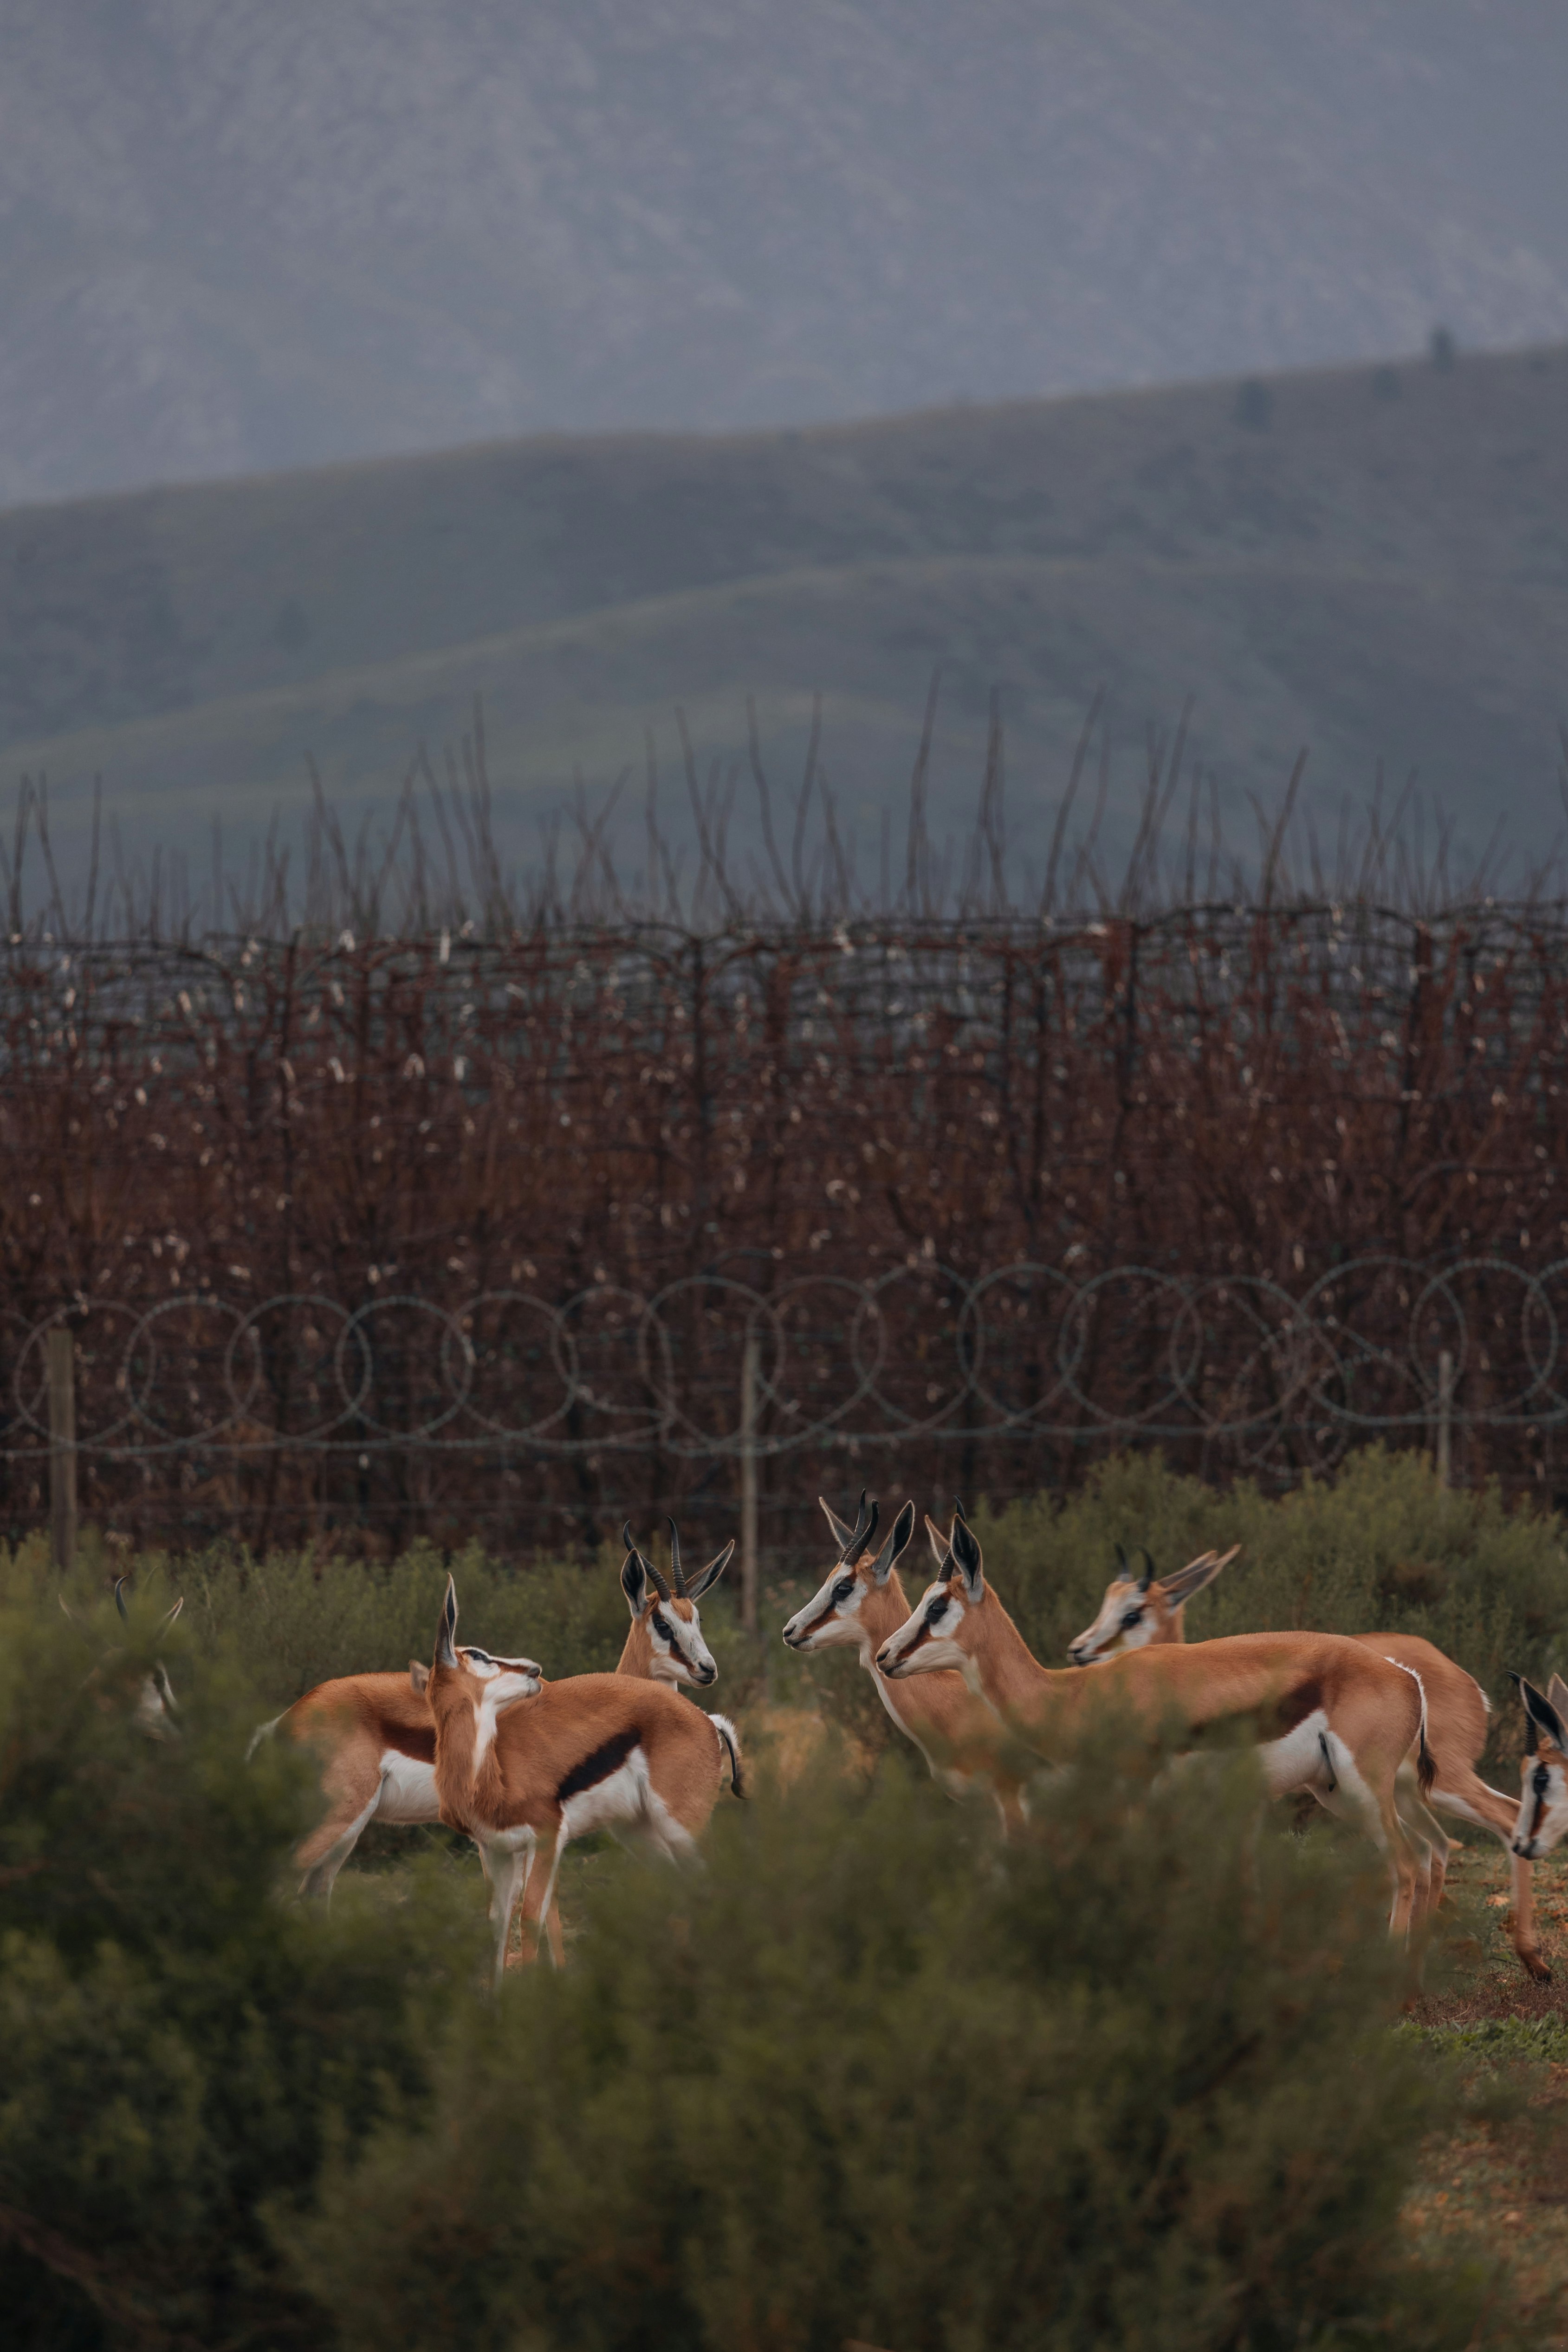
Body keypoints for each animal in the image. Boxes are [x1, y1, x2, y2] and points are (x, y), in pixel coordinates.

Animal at [426, 1574, 743, 1985]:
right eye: (478, 1654)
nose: (533, 1669)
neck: (489, 1771)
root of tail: (707, 1719)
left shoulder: (546, 1838)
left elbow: (532, 1918)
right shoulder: (496, 1850)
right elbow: (497, 1926)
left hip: (684, 1828)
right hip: (641, 1833)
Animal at [877, 1507, 1436, 1938]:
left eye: (938, 1605)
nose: (884, 1656)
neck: (1075, 1695)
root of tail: (1406, 1677)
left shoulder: (1139, 1797)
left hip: (1364, 1788)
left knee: (1408, 1864)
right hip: (1335, 1791)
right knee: (1421, 1858)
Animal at [1068, 1542, 1552, 1981]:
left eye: (1133, 1613)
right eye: (1107, 1602)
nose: (1079, 1650)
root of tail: (1420, 1675)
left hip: (1421, 1785)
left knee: (1490, 1823)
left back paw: (1528, 1963)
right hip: (1380, 1794)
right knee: (1435, 1847)